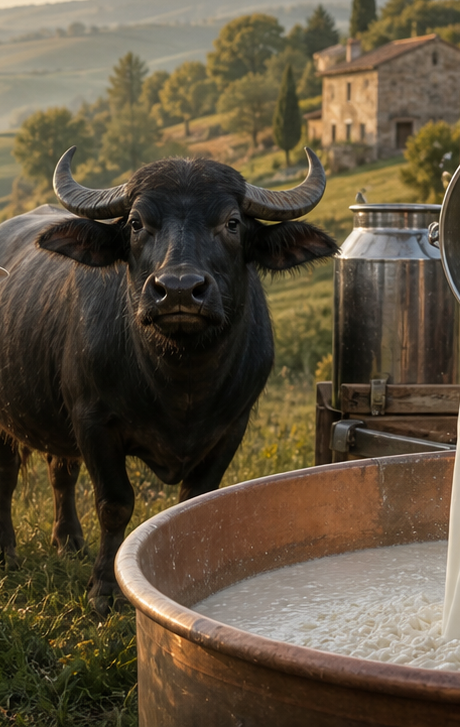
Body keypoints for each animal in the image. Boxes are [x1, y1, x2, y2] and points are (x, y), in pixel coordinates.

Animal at [0, 147, 337, 610]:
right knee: (8, 476)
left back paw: (69, 543)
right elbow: (115, 504)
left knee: (60, 472)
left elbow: (195, 501)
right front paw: (104, 590)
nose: (178, 290)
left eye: (232, 223)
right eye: (137, 223)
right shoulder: (93, 422)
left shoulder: (231, 427)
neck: (181, 382)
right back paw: (8, 555)